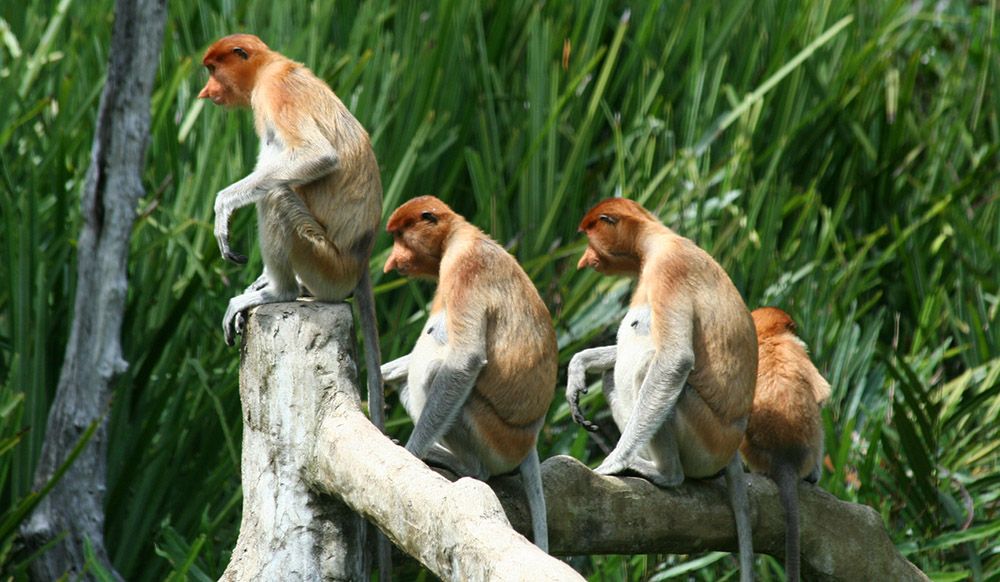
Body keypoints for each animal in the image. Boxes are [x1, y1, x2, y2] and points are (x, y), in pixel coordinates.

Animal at [378, 196, 560, 552]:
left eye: (400, 237)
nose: (391, 262)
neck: (458, 234)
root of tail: (530, 439)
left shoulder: (466, 267)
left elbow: (465, 360)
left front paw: (411, 453)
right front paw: (382, 372)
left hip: (496, 439)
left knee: (435, 374)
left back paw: (464, 465)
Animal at [568, 198, 752, 580]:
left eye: (590, 239)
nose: (583, 261)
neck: (656, 240)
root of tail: (731, 447)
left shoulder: (669, 268)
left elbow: (675, 360)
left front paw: (613, 462)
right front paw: (578, 366)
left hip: (706, 440)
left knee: (653, 372)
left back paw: (663, 472)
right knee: (614, 376)